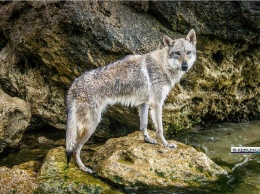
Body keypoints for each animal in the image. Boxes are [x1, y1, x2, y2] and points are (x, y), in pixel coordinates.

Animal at [66, 29, 196, 173]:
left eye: (188, 52)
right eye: (177, 53)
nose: (185, 66)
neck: (164, 65)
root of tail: (73, 85)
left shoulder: (144, 104)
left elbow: (143, 125)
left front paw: (148, 140)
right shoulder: (157, 104)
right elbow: (160, 129)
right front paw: (166, 145)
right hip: (91, 125)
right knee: (75, 149)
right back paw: (83, 168)